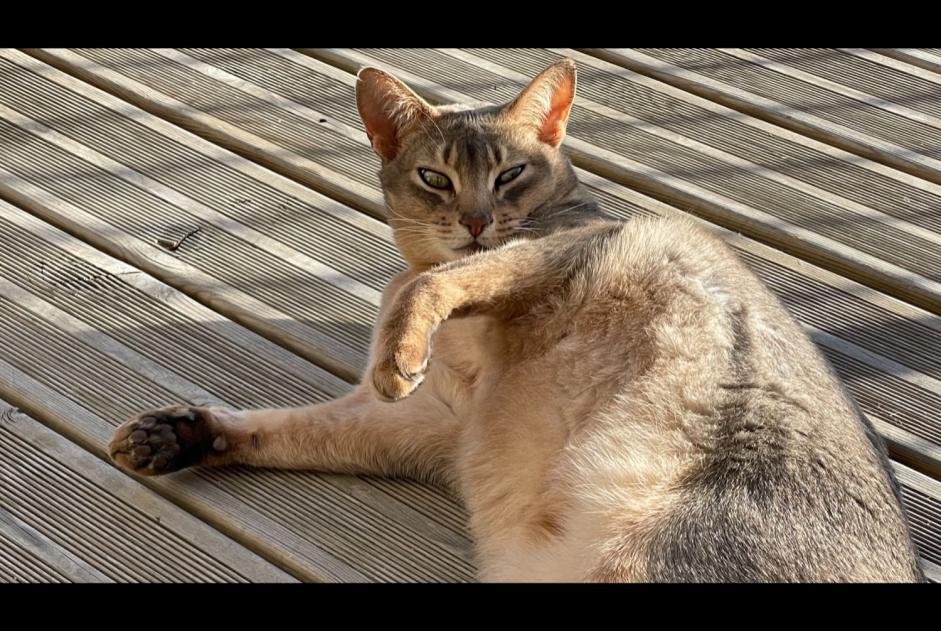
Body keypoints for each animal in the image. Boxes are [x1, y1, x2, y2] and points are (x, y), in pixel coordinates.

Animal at [112, 58, 924, 584]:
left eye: (509, 175)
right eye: (434, 177)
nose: (476, 220)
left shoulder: (548, 256)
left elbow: (434, 281)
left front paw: (397, 348)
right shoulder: (432, 423)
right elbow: (287, 427)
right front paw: (179, 433)